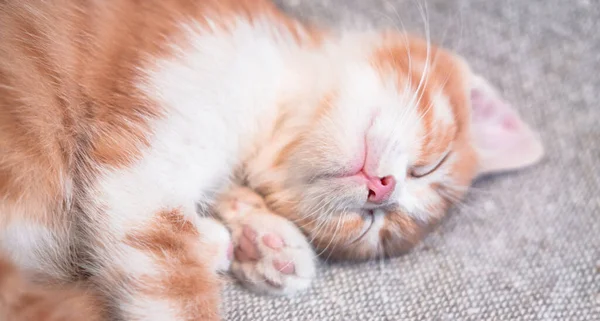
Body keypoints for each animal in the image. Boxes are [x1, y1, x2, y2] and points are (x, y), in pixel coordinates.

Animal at [0, 0, 544, 318]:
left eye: (374, 228)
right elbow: (169, 274)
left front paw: (261, 240)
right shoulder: (139, 169)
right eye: (429, 166)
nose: (383, 189)